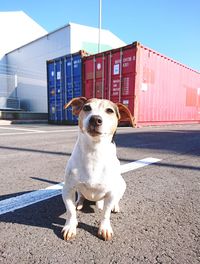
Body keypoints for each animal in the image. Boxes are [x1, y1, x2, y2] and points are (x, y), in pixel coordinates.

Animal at [62, 97, 134, 241]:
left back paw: (114, 206)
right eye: (87, 108)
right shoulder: (67, 190)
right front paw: (70, 227)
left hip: (122, 184)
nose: (95, 119)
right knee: (81, 196)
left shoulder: (111, 193)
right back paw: (79, 203)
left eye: (109, 110)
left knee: (115, 199)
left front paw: (104, 228)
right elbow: (70, 211)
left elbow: (106, 214)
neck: (94, 152)